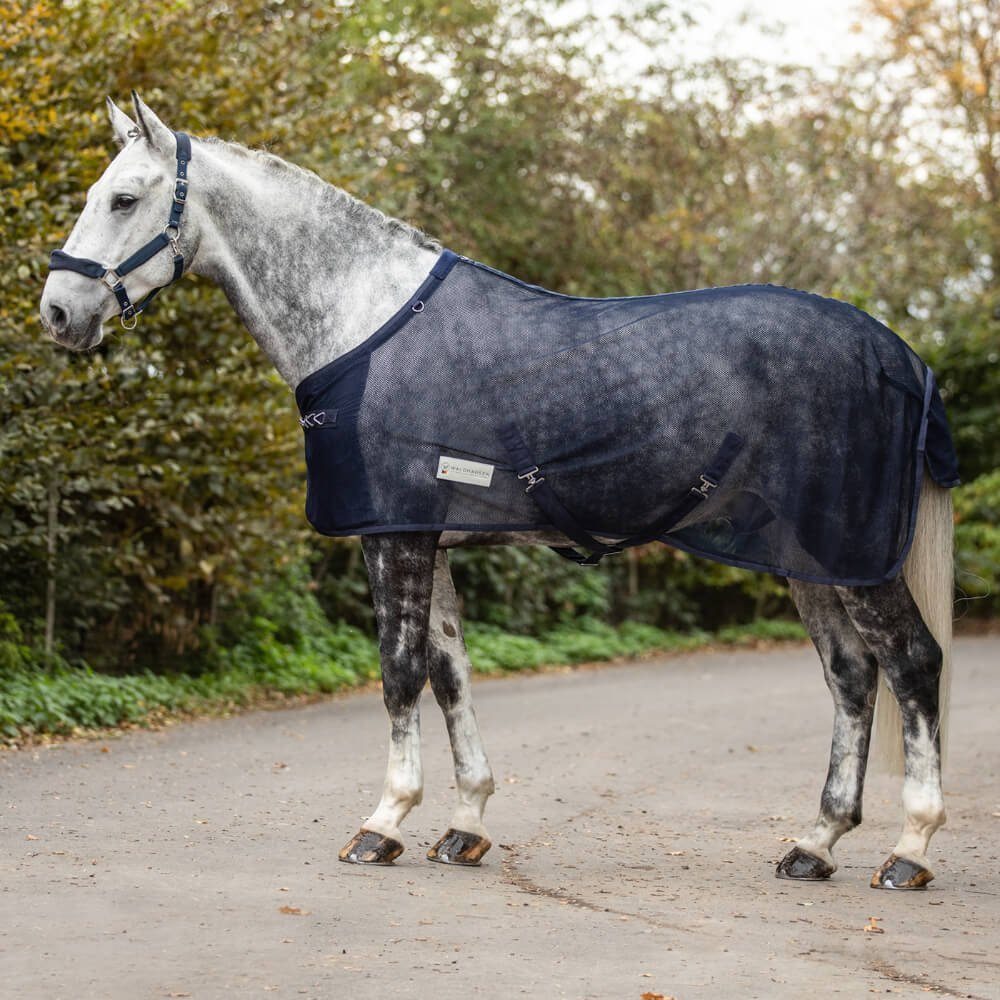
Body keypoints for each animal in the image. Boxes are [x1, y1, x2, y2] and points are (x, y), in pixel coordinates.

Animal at [39, 94, 957, 891]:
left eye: (124, 198)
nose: (57, 313)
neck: (365, 319)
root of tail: (900, 355)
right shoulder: (427, 534)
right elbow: (450, 673)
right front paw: (465, 822)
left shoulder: (394, 536)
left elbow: (400, 669)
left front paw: (384, 822)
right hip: (815, 560)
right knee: (851, 676)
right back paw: (816, 842)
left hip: (856, 556)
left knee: (911, 664)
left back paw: (910, 849)